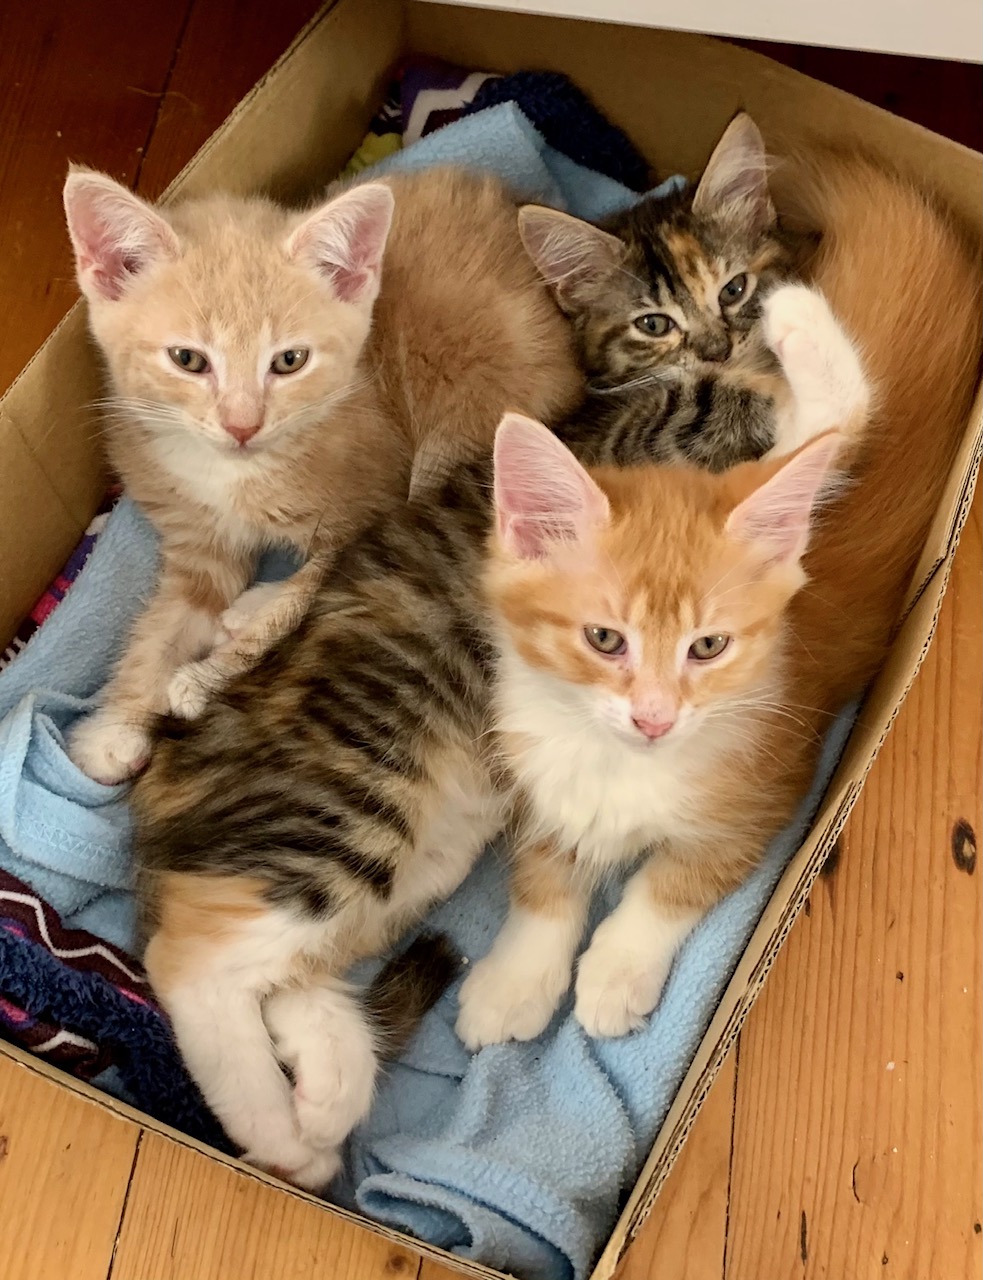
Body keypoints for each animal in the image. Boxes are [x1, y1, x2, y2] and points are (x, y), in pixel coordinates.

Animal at [63, 164, 581, 784]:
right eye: (188, 360)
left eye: (289, 361)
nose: (242, 425)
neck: (237, 471)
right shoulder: (197, 539)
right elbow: (166, 625)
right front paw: (118, 724)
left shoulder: (374, 499)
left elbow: (320, 582)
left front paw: (207, 676)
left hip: (461, 422)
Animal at [129, 273, 869, 1189]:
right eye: (656, 317)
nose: (724, 334)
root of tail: (173, 762)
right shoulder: (680, 443)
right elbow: (836, 416)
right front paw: (800, 319)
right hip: (346, 803)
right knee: (192, 961)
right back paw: (278, 1132)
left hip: (418, 861)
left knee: (282, 967)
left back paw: (328, 1088)